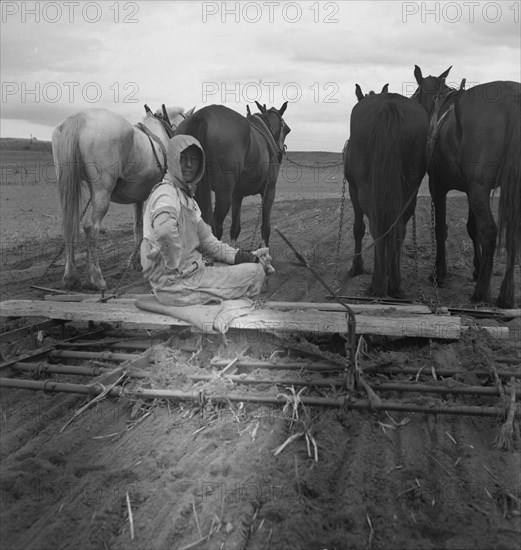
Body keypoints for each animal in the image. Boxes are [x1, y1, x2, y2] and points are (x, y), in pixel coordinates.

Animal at [51, 105, 194, 292]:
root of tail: (79, 118)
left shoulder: (139, 196)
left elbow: (138, 227)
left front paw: (136, 261)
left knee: (69, 224)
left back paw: (70, 277)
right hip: (102, 191)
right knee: (91, 228)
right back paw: (96, 278)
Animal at [174, 102, 288, 248]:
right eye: (286, 130)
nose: (280, 153)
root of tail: (202, 115)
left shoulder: (237, 195)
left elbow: (235, 228)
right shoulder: (269, 190)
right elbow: (265, 228)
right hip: (224, 194)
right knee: (216, 227)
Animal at [344, 89, 428, 300]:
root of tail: (390, 105)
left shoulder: (353, 190)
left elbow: (358, 228)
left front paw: (357, 268)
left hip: (367, 192)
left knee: (377, 228)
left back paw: (377, 284)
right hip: (409, 193)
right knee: (397, 230)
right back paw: (394, 285)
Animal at [412, 65, 516, 310]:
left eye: (417, 93)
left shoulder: (438, 185)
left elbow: (441, 228)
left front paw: (439, 274)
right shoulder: (471, 189)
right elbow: (471, 227)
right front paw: (477, 269)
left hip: (478, 187)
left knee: (490, 230)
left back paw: (481, 293)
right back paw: (505, 295)